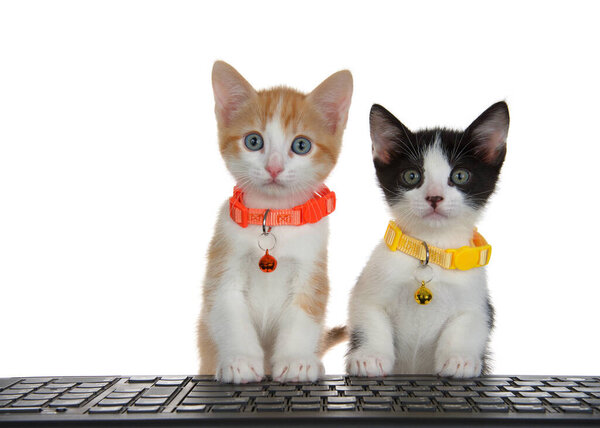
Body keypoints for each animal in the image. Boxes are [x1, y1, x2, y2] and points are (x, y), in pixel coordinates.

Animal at [199, 61, 354, 384]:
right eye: (253, 141)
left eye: (301, 145)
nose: (273, 167)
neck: (274, 219)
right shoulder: (224, 263)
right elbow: (228, 309)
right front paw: (241, 361)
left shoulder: (311, 269)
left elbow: (304, 314)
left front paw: (296, 362)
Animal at [344, 102, 508, 376]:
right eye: (412, 176)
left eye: (460, 175)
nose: (434, 197)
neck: (432, 247)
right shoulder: (370, 290)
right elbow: (370, 318)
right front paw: (370, 357)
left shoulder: (476, 301)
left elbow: (469, 323)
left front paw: (459, 359)